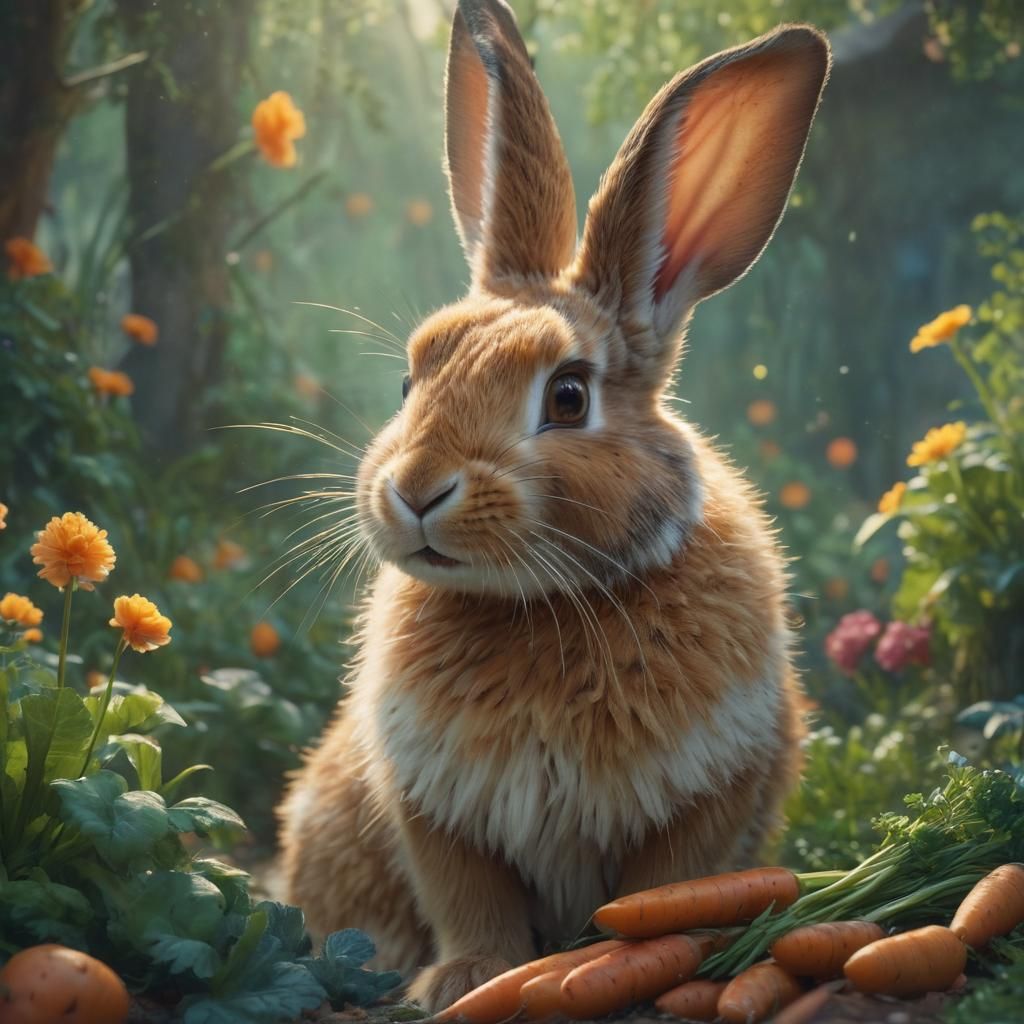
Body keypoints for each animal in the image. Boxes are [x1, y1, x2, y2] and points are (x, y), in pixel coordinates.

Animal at [277, 0, 831, 1012]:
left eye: (568, 397)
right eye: (411, 378)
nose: (415, 490)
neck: (541, 604)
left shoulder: (702, 803)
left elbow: (662, 892)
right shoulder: (434, 806)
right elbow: (469, 896)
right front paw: (464, 979)